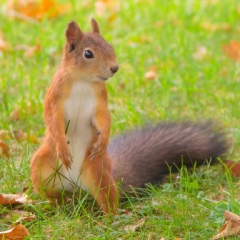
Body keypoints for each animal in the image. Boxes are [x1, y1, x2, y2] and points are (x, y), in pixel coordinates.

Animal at [30, 18, 229, 214]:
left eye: (110, 46)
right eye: (88, 53)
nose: (114, 68)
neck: (83, 81)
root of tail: (75, 187)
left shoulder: (100, 102)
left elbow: (103, 118)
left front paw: (103, 140)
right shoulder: (54, 99)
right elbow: (52, 121)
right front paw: (62, 147)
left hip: (98, 172)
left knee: (108, 197)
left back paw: (109, 218)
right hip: (42, 167)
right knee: (50, 193)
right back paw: (58, 204)